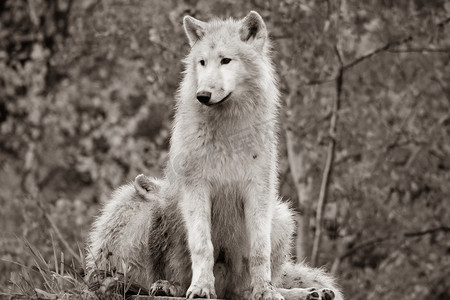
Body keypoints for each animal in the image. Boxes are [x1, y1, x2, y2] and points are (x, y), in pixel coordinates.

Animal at [86, 11, 342, 300]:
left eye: (225, 60)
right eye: (202, 62)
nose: (203, 95)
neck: (228, 134)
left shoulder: (258, 188)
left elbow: (260, 252)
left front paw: (266, 291)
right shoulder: (197, 187)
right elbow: (202, 246)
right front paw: (200, 288)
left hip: (282, 217)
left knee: (248, 290)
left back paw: (311, 292)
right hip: (168, 212)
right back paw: (169, 286)